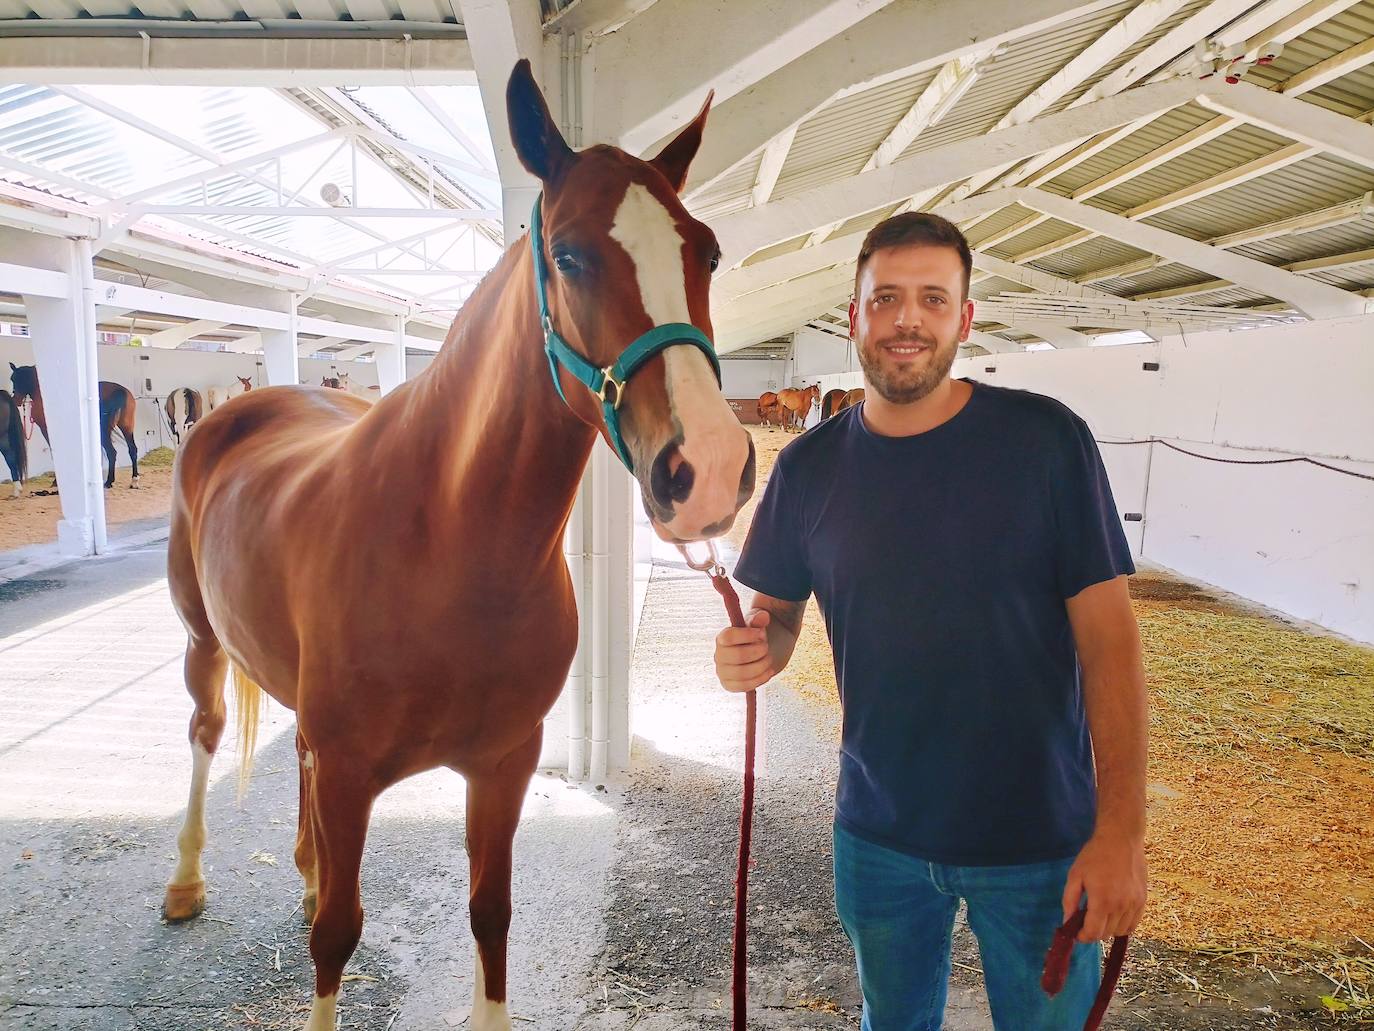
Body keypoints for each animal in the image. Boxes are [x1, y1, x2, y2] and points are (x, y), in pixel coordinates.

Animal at [8, 363, 140, 489]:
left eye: (19, 379)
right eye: (13, 379)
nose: (15, 400)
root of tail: (120, 391)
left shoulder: (46, 430)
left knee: (112, 452)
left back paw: (109, 482)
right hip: (126, 427)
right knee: (132, 450)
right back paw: (133, 481)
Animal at [160, 59, 753, 1031]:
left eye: (704, 252)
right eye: (569, 255)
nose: (707, 466)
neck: (445, 547)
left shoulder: (503, 764)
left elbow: (490, 911)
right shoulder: (354, 774)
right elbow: (336, 936)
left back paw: (302, 867)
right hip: (203, 640)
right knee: (206, 733)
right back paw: (185, 879)